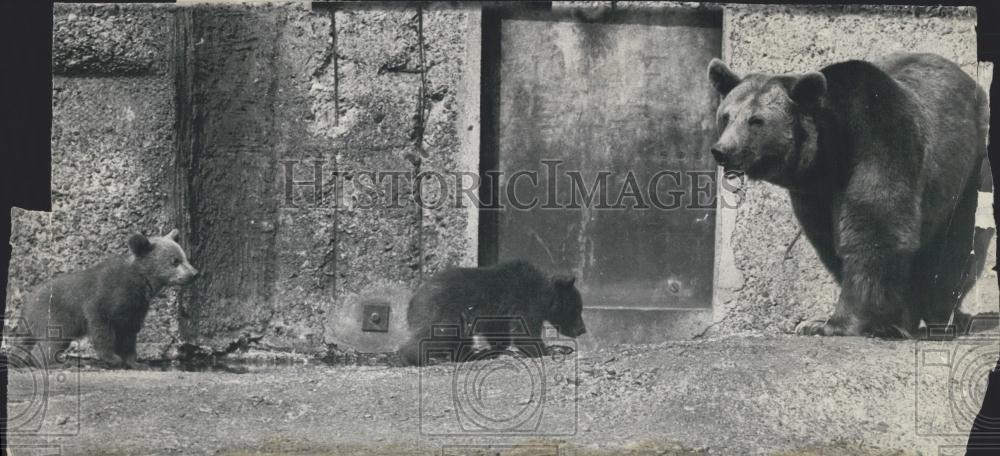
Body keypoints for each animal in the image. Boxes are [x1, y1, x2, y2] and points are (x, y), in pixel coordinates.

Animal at [708, 53, 988, 338]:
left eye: (756, 121)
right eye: (726, 117)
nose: (722, 151)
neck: (829, 152)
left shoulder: (879, 136)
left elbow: (875, 227)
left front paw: (838, 323)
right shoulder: (813, 194)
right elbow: (829, 241)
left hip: (967, 167)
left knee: (957, 243)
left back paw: (944, 316)